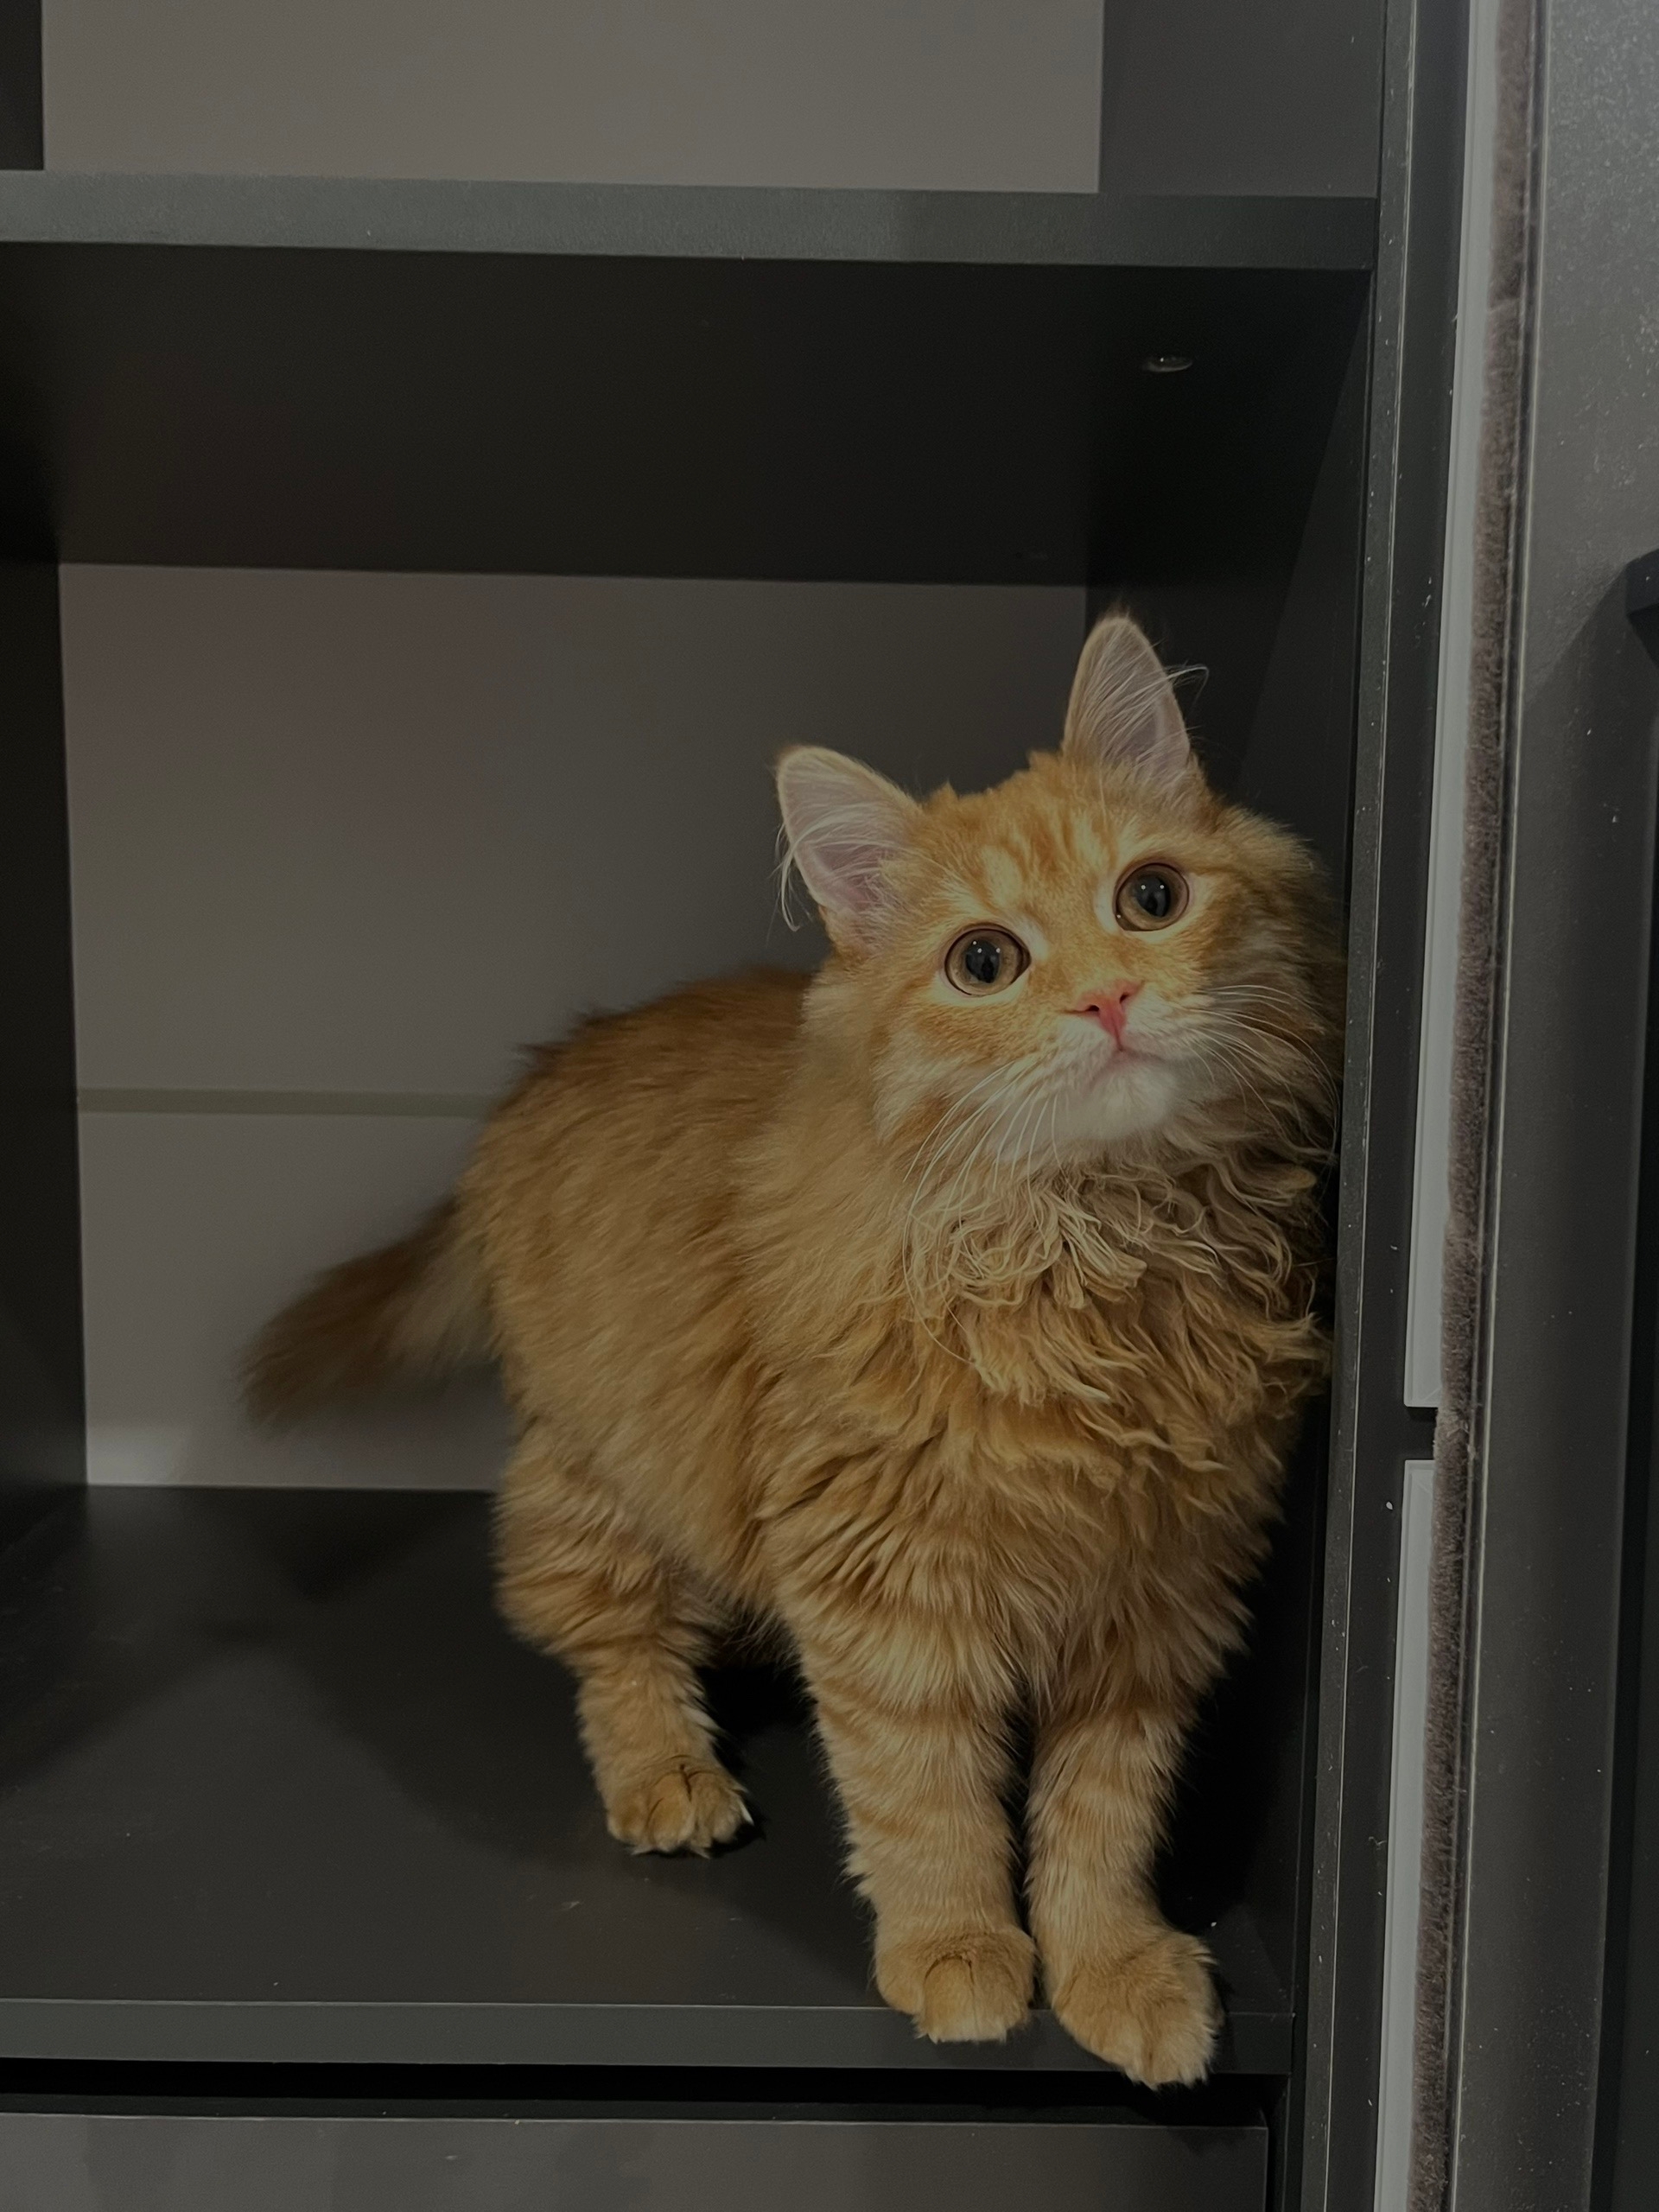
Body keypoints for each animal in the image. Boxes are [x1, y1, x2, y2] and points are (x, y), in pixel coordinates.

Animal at [247, 613, 1339, 2085]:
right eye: (984, 964)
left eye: (1152, 898)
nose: (1111, 999)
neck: (1097, 1252)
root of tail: (549, 1063)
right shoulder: (887, 1584)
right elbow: (926, 1799)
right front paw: (958, 1949)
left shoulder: (1158, 1595)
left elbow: (1103, 1821)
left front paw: (1112, 1968)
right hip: (597, 1473)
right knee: (608, 1642)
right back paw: (671, 1775)